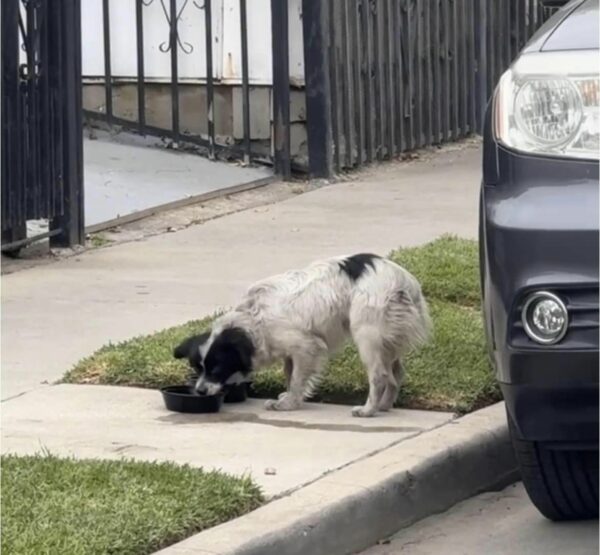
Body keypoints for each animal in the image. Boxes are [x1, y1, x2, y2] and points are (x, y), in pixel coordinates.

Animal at [173, 254, 432, 420]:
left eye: (216, 370)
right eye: (197, 369)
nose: (200, 391)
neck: (254, 319)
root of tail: (405, 281)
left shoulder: (306, 346)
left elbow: (298, 378)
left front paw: (289, 404)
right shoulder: (290, 351)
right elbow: (289, 374)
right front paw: (287, 395)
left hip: (367, 333)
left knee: (380, 376)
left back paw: (368, 410)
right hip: (387, 339)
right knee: (396, 374)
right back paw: (385, 405)